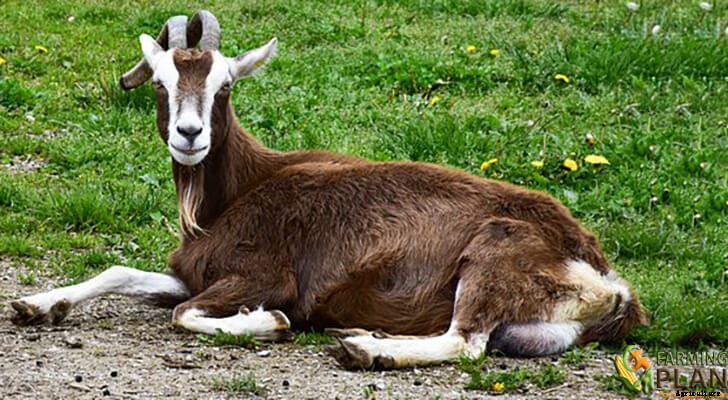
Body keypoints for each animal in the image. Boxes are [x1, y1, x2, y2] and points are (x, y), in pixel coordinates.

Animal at [10, 11, 648, 369]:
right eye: (162, 84)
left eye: (224, 86)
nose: (189, 136)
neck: (237, 194)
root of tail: (604, 275)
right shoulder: (196, 273)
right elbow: (122, 274)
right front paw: (37, 304)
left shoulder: (265, 276)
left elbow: (187, 315)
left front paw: (269, 323)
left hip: (494, 254)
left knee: (466, 343)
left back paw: (364, 347)